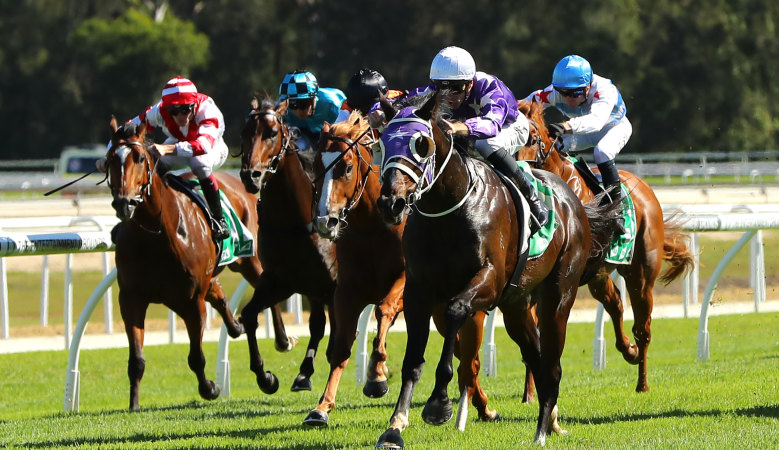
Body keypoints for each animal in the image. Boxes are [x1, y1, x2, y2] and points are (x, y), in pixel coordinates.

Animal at [106, 119, 272, 412]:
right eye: (109, 160)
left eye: (140, 158)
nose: (124, 202)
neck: (155, 234)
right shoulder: (131, 299)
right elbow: (136, 359)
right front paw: (134, 403)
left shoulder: (192, 301)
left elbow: (196, 357)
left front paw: (211, 388)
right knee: (223, 298)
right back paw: (237, 326)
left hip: (250, 261)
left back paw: (273, 361)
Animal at [238, 96, 336, 394]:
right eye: (244, 133)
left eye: (272, 133)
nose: (251, 176)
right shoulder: (282, 280)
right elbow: (248, 316)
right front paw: (266, 377)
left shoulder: (332, 284)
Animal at [302, 111, 406, 426]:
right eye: (316, 166)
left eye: (346, 167)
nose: (325, 221)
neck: (374, 225)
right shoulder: (347, 290)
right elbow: (342, 345)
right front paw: (322, 406)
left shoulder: (405, 280)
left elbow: (384, 310)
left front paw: (376, 376)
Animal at [374, 92, 620, 446]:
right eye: (382, 142)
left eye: (421, 144)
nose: (390, 203)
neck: (450, 208)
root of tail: (574, 200)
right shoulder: (418, 290)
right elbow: (412, 360)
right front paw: (395, 425)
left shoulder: (488, 281)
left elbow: (456, 313)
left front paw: (439, 403)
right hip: (516, 305)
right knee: (536, 356)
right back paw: (551, 420)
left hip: (559, 294)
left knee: (553, 364)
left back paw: (541, 430)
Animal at [516, 99, 696, 394]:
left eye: (531, 137)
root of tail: (645, 189)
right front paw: (529, 392)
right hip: (599, 276)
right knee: (616, 305)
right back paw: (629, 351)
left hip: (640, 273)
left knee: (643, 328)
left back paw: (642, 381)